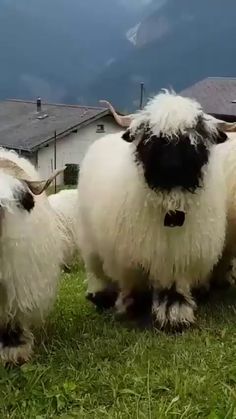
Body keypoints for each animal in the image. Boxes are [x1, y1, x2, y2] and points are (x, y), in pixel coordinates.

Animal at [78, 91, 230, 332]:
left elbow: (175, 288)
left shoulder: (181, 257)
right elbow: (134, 286)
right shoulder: (133, 257)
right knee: (97, 270)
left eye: (193, 136)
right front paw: (132, 309)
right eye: (152, 136)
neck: (171, 209)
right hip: (90, 239)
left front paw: (175, 316)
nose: (171, 166)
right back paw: (100, 296)